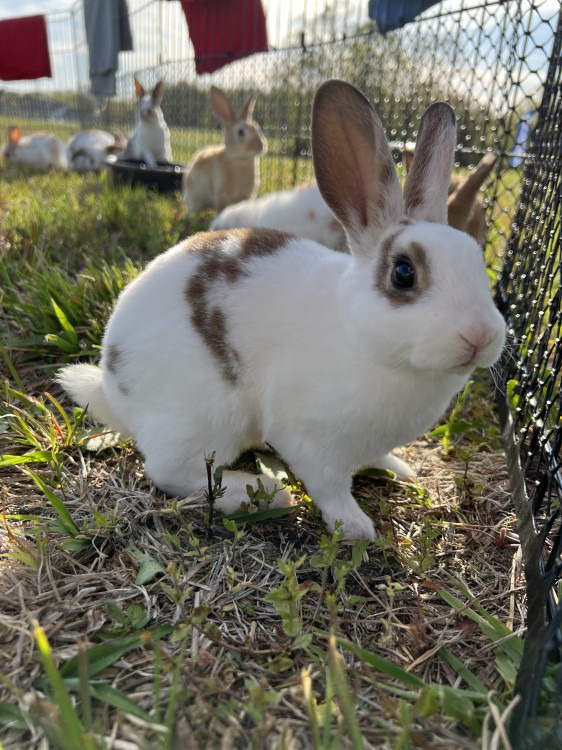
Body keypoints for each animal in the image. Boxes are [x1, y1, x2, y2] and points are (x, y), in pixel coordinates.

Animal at [180, 89, 266, 217]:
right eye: (241, 132)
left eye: (257, 128)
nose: (260, 146)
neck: (240, 159)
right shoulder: (222, 195)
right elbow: (221, 208)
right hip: (195, 198)